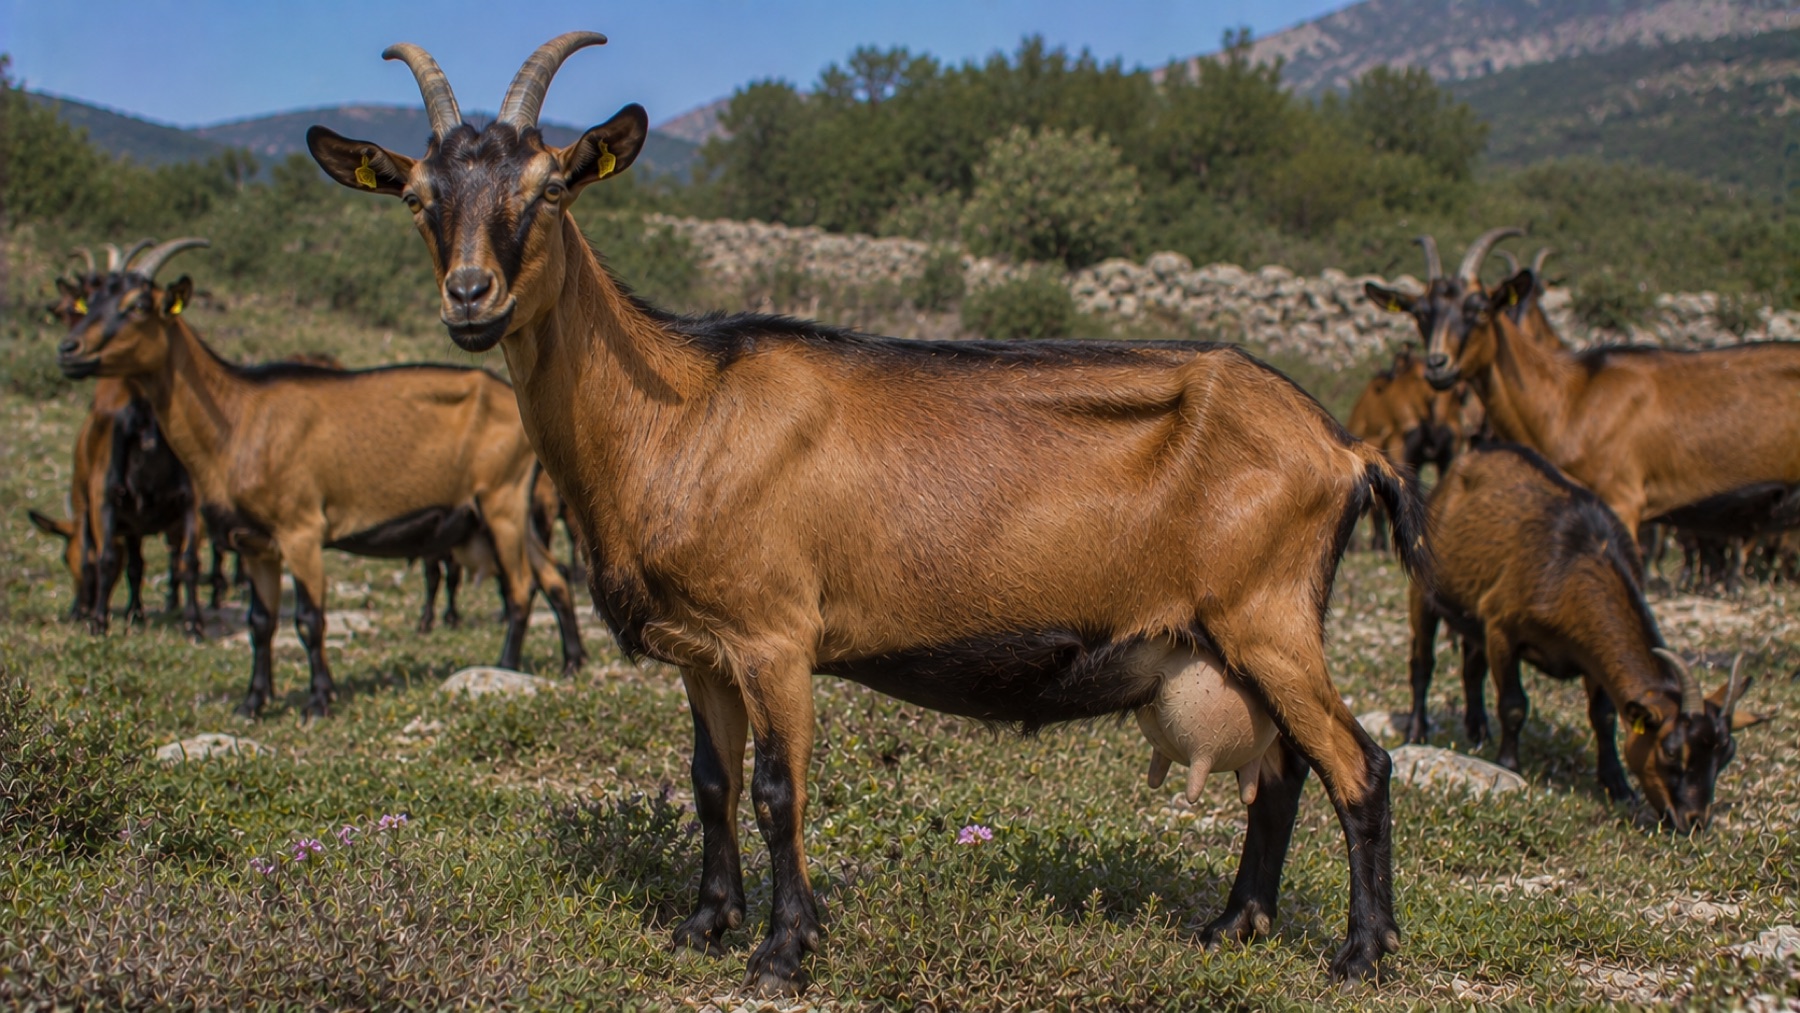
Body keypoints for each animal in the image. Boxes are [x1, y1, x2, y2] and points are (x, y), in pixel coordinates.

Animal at [56, 240, 584, 719]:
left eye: (138, 306)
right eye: (89, 302)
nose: (68, 349)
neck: (238, 416)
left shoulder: (301, 530)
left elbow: (310, 619)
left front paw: (318, 701)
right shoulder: (255, 543)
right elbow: (260, 622)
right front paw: (252, 703)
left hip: (499, 501)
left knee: (520, 589)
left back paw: (506, 667)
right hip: (506, 511)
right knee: (553, 577)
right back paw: (570, 662)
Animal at [307, 33, 1431, 990]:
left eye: (548, 189)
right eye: (418, 196)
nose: (471, 296)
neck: (680, 408)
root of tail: (1344, 447)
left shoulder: (774, 635)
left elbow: (777, 789)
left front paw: (782, 951)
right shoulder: (702, 647)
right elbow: (710, 781)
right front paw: (704, 924)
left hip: (1268, 615)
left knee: (1357, 763)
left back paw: (1360, 953)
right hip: (1236, 637)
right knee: (1279, 771)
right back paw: (1232, 924)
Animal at [1409, 442, 1756, 829]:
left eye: (1726, 755)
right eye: (1670, 751)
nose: (1693, 820)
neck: (1573, 567)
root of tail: (1470, 458)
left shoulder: (1591, 656)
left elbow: (1603, 717)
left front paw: (1618, 785)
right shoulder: (1501, 628)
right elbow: (1513, 705)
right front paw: (1509, 764)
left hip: (1470, 611)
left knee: (1471, 666)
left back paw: (1477, 731)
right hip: (1424, 592)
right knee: (1423, 663)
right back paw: (1418, 731)